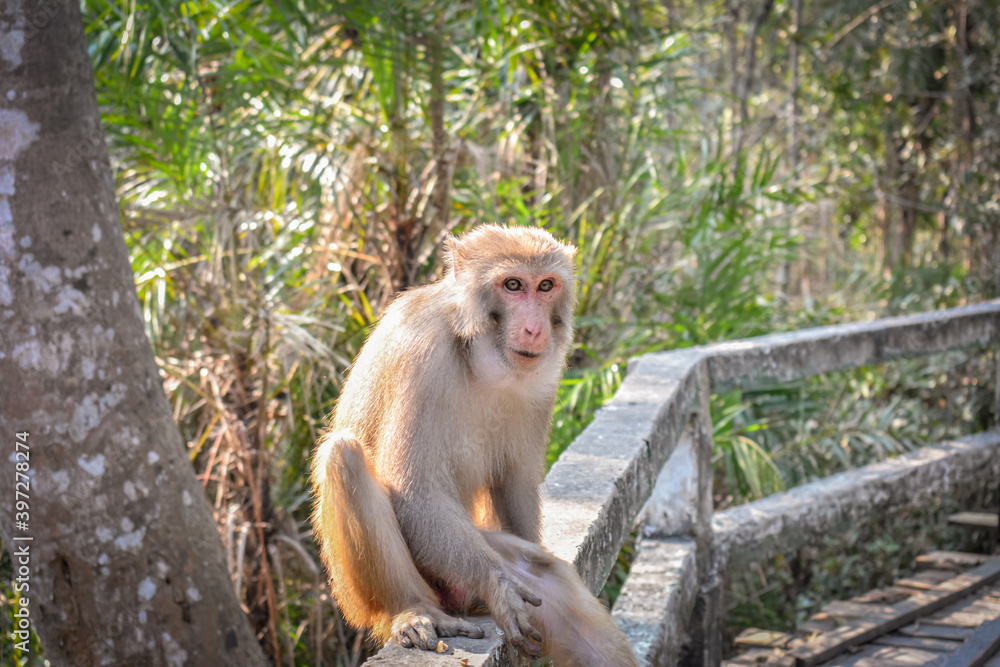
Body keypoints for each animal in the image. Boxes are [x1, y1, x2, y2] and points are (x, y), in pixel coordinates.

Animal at [311, 225, 637, 666]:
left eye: (546, 286)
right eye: (513, 285)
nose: (536, 329)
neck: (476, 351)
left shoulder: (544, 377)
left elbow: (514, 482)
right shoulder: (422, 354)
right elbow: (415, 492)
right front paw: (496, 584)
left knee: (546, 578)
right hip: (377, 591)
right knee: (344, 455)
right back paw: (411, 609)